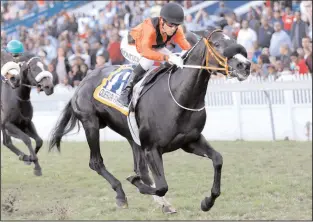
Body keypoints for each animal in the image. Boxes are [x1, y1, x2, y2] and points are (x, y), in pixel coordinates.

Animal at [48, 29, 249, 212]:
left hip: (132, 136)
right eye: (217, 44)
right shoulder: (152, 148)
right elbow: (161, 186)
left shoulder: (190, 141)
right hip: (91, 123)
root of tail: (83, 80)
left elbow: (218, 159)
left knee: (141, 169)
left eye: (234, 40)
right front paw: (135, 183)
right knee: (96, 162)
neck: (179, 96)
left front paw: (207, 202)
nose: (245, 65)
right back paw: (121, 194)